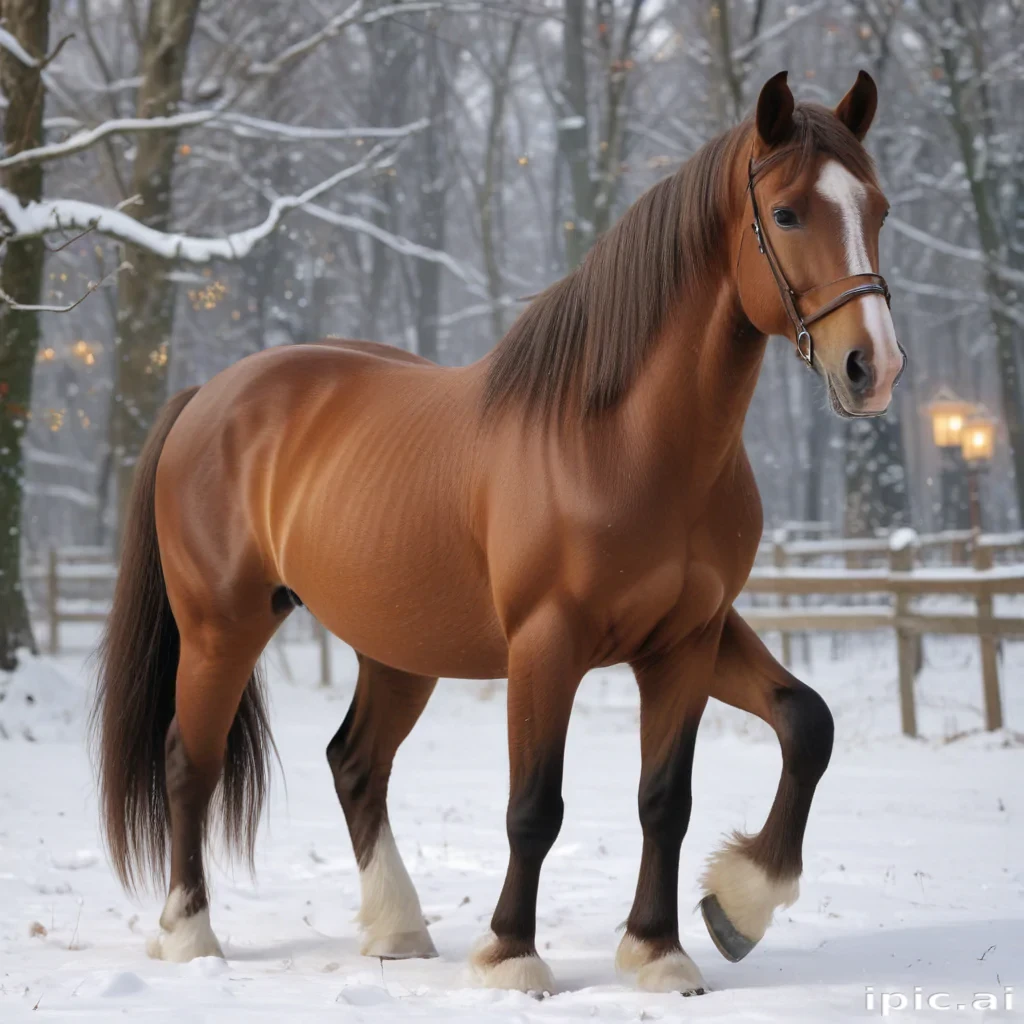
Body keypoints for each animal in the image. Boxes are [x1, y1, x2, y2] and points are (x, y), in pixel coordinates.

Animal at [93, 69, 903, 994]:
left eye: (878, 208)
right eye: (789, 213)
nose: (873, 366)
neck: (621, 442)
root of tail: (209, 395)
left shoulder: (687, 638)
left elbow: (744, 758)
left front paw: (696, 930)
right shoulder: (546, 644)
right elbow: (534, 806)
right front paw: (513, 955)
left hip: (401, 650)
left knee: (355, 763)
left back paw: (397, 929)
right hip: (221, 628)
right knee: (190, 761)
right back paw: (190, 932)